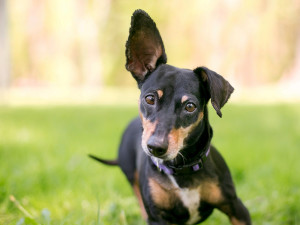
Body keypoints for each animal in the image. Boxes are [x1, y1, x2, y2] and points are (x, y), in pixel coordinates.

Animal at [89, 8, 251, 225]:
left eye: (190, 106)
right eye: (150, 99)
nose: (156, 147)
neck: (182, 170)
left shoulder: (237, 208)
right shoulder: (157, 217)